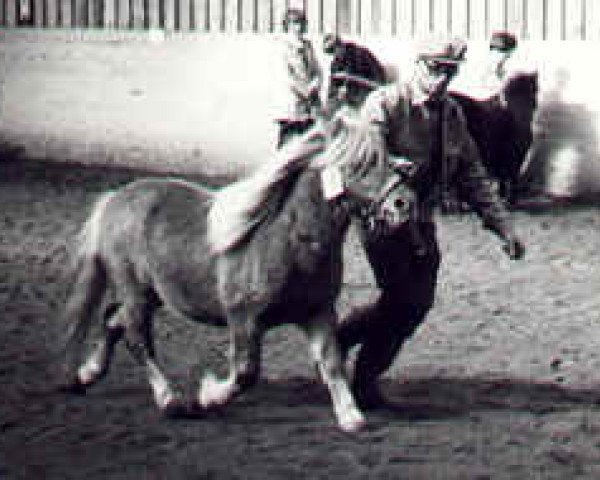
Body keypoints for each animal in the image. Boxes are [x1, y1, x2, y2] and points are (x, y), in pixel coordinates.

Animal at [61, 122, 408, 434]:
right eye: (360, 164)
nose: (403, 203)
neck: (289, 242)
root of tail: (114, 200)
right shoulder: (243, 318)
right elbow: (245, 373)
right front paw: (208, 397)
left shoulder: (317, 311)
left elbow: (332, 361)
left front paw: (351, 417)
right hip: (136, 292)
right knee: (136, 337)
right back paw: (170, 400)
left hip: (152, 295)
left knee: (113, 320)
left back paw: (84, 376)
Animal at [450, 72, 540, 203]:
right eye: (505, 94)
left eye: (533, 90)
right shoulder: (504, 156)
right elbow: (505, 176)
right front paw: (506, 197)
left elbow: (507, 176)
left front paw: (506, 197)